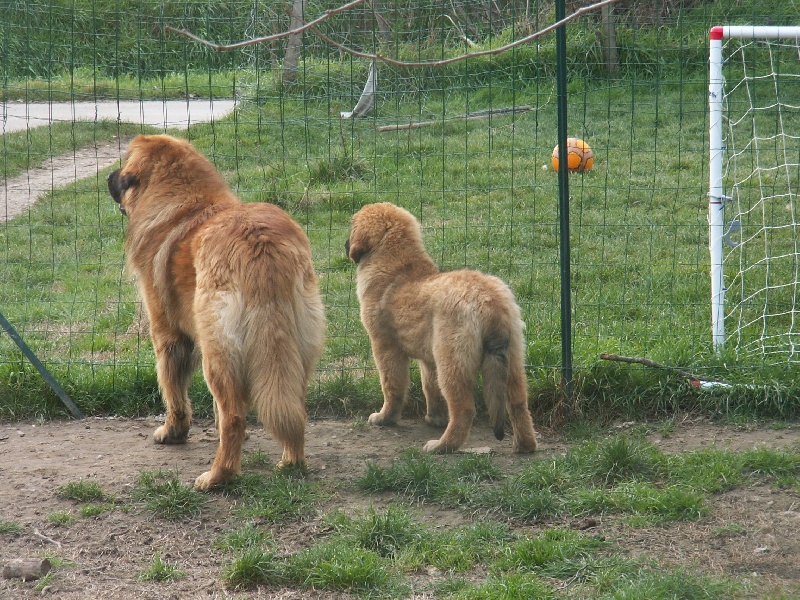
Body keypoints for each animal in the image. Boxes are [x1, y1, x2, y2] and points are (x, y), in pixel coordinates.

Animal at [106, 134, 324, 490]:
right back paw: (290, 462)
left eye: (123, 168)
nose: (109, 177)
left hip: (216, 350)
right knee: (291, 407)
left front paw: (173, 432)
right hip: (297, 346)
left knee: (235, 415)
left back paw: (217, 477)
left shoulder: (168, 332)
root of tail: (260, 244)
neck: (183, 202)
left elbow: (173, 389)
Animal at [346, 200, 536, 450]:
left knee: (464, 408)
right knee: (519, 403)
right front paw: (434, 418)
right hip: (513, 358)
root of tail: (488, 299)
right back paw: (525, 446)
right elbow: (430, 387)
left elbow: (392, 385)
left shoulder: (385, 346)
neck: (398, 265)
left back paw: (443, 446)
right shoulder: (428, 358)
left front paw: (385, 417)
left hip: (452, 360)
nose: (346, 244)